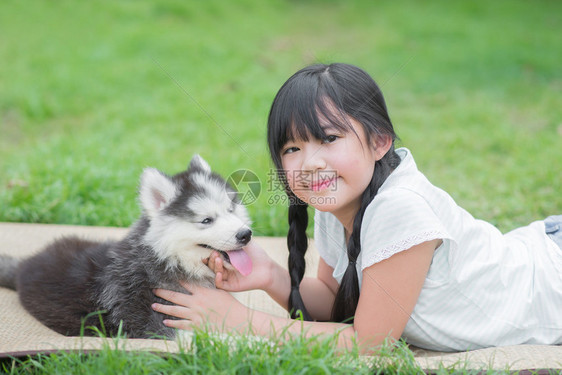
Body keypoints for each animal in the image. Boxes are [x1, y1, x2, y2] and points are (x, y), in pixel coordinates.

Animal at [0, 156, 252, 340]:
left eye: (231, 209)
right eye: (206, 220)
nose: (246, 235)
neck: (168, 260)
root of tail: (25, 265)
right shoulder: (160, 328)